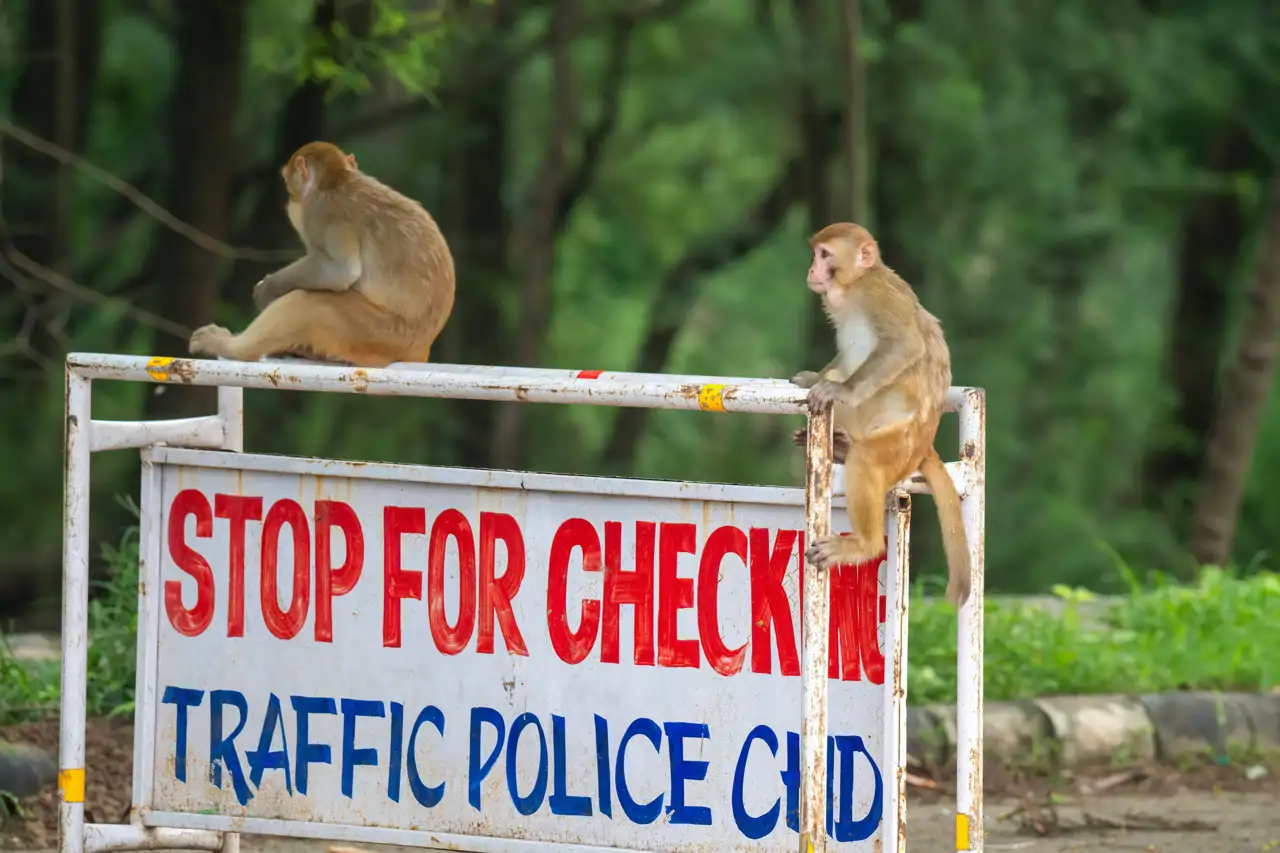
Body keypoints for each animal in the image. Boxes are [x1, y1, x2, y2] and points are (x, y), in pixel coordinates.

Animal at [188, 141, 455, 368]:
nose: (289, 202)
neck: (338, 179)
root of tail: (419, 349)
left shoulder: (324, 214)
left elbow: (342, 271)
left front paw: (269, 289)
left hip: (378, 334)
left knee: (307, 303)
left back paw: (234, 349)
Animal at [790, 222, 971, 607]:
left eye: (824, 254)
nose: (812, 270)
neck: (852, 286)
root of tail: (925, 445)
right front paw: (814, 378)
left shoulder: (878, 296)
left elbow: (905, 344)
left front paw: (837, 390)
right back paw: (839, 445)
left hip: (898, 443)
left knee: (868, 460)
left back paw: (863, 544)